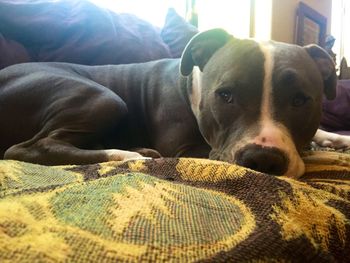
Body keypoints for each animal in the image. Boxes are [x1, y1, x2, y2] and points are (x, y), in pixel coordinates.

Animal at [0, 28, 350, 179]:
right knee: (30, 148)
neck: (192, 86)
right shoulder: (184, 149)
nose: (263, 159)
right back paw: (128, 154)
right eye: (225, 95)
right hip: (104, 97)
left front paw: (334, 140)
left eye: (300, 100)